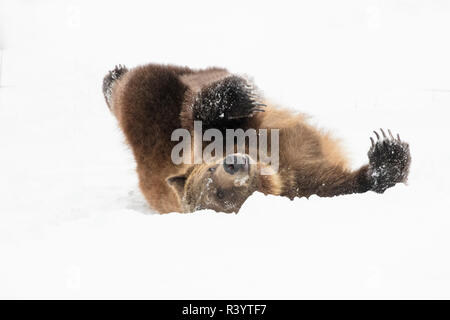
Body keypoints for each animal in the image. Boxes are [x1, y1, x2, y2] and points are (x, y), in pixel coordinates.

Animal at [103, 62, 412, 214]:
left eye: (211, 169)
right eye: (220, 195)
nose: (234, 165)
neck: (269, 164)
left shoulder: (224, 141)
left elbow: (217, 122)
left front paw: (232, 99)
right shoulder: (303, 185)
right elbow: (346, 183)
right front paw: (387, 155)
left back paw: (113, 76)